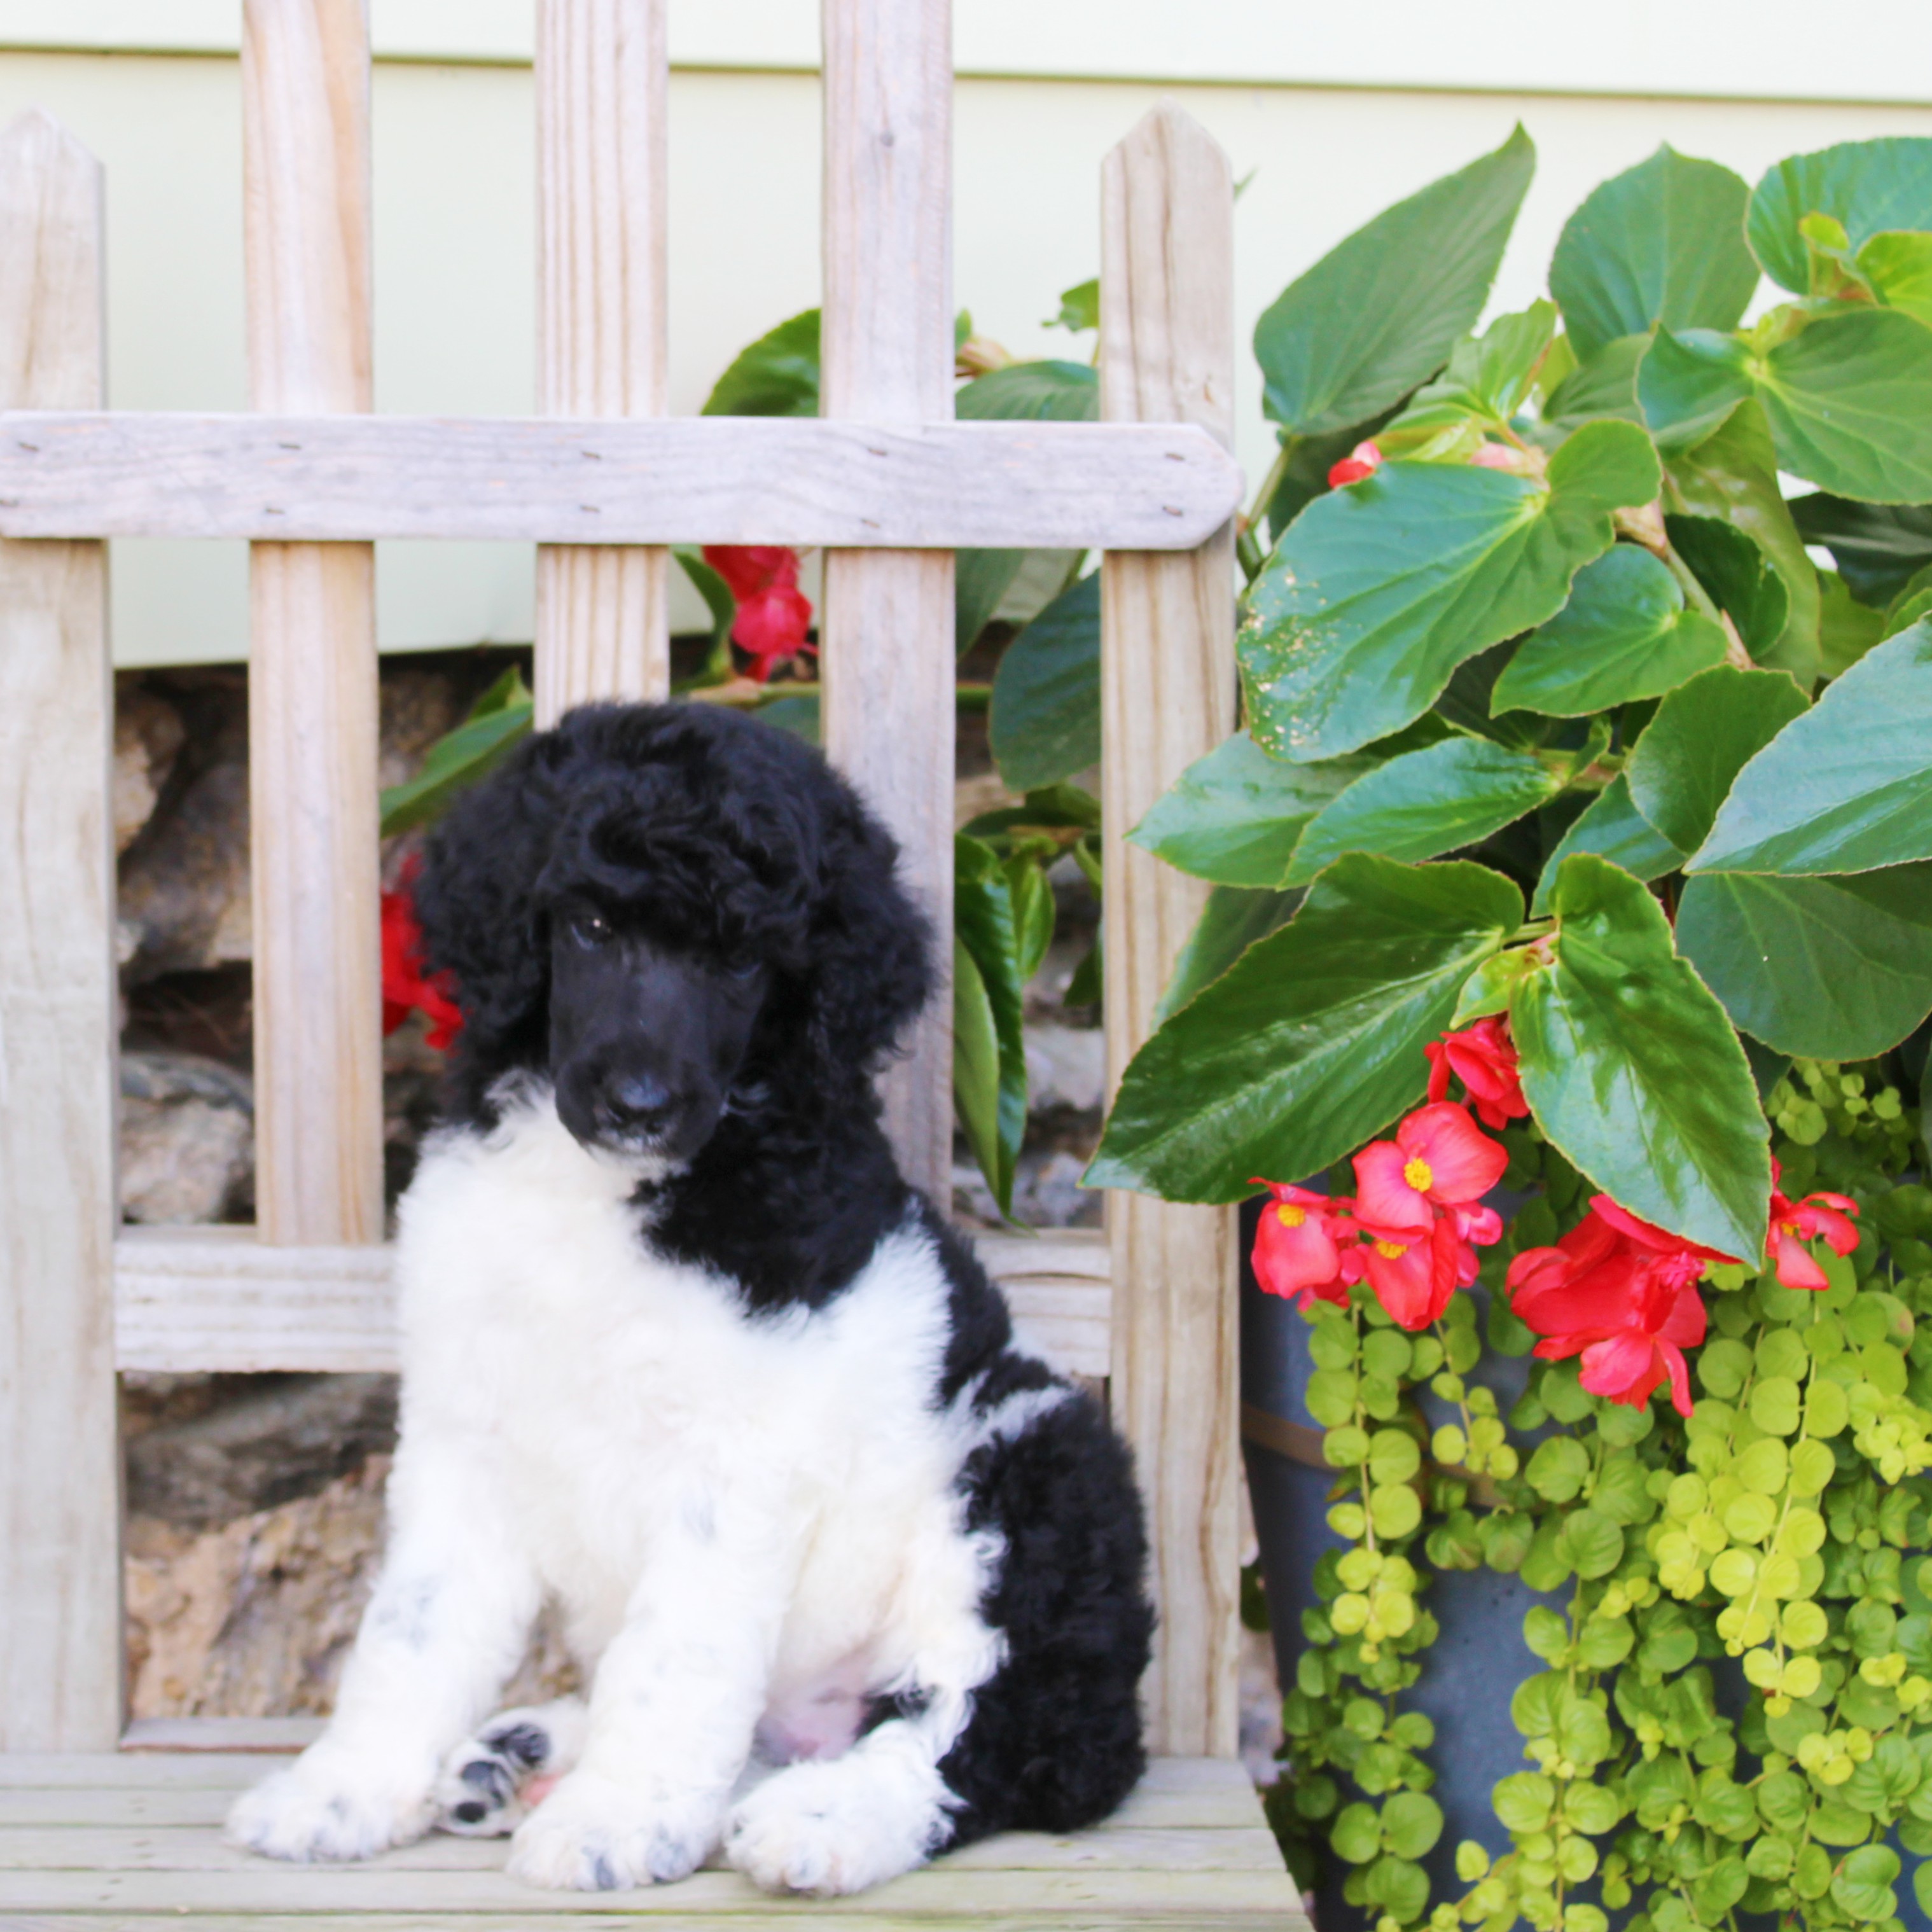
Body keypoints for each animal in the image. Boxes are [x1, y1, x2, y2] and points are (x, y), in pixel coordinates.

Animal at [232, 703, 1151, 1893]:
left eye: (744, 957)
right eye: (586, 924)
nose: (639, 1102)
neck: (604, 1192)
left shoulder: (737, 1460)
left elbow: (675, 1653)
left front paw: (616, 1824)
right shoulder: (466, 1425)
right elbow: (416, 1627)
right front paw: (342, 1790)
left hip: (1033, 1467)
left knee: (999, 1737)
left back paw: (825, 1818)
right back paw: (524, 1756)